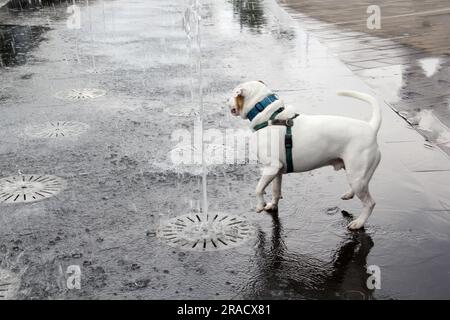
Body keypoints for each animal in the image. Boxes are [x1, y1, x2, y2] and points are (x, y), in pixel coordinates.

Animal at [230, 81, 382, 229]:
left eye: (233, 95)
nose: (227, 103)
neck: (269, 117)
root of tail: (370, 127)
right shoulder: (277, 171)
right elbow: (275, 190)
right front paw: (272, 205)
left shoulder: (271, 167)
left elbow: (258, 189)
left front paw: (260, 205)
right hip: (355, 174)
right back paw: (349, 194)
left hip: (357, 176)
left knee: (370, 203)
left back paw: (359, 223)